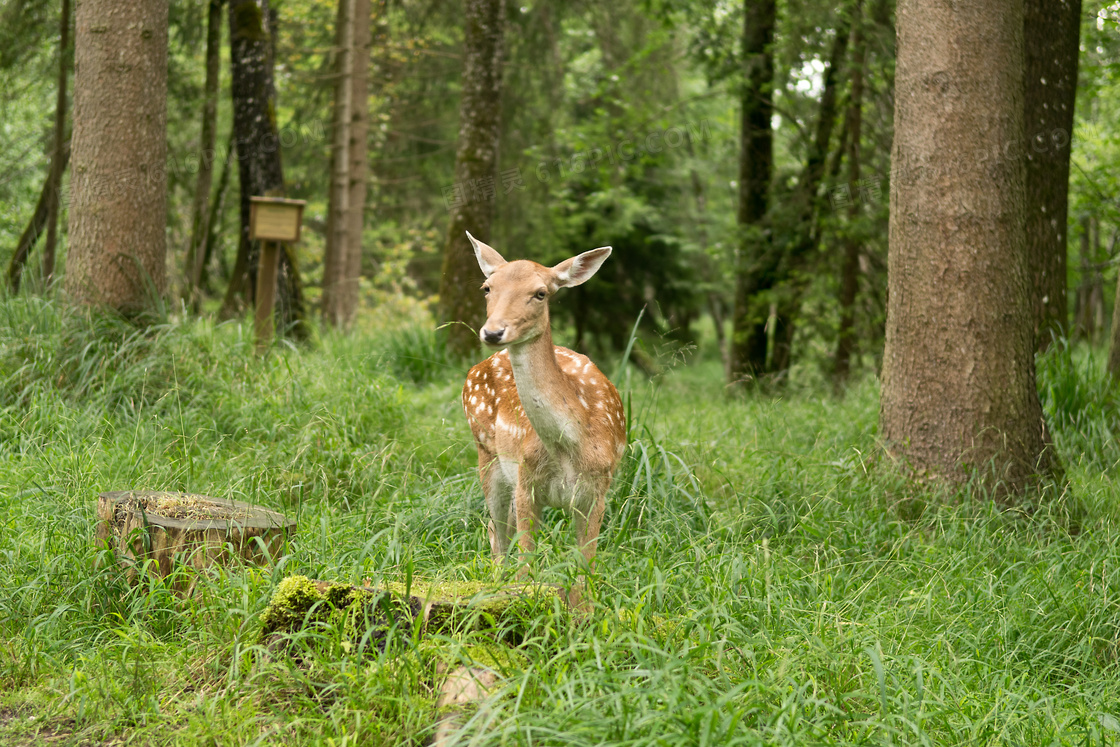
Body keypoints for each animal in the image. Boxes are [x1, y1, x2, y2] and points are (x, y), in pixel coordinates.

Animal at [459, 234, 627, 609]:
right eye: (487, 288)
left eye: (540, 293)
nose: (493, 332)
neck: (568, 448)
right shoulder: (527, 483)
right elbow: (526, 566)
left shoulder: (598, 492)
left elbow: (585, 572)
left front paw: (583, 615)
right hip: (485, 452)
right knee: (496, 533)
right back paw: (494, 586)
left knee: (500, 528)